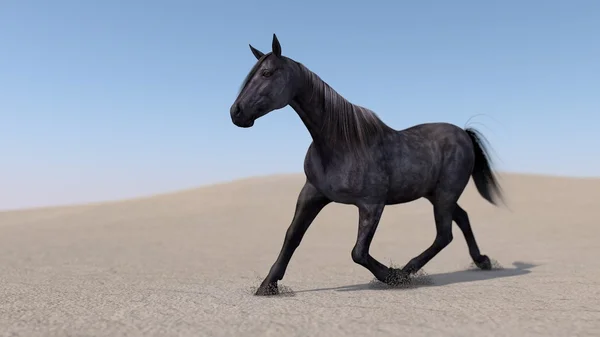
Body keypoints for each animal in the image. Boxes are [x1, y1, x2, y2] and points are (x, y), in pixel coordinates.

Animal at [232, 34, 504, 296]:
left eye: (267, 73)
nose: (236, 113)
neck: (341, 144)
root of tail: (463, 133)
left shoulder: (372, 204)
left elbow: (358, 252)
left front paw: (392, 276)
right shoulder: (312, 193)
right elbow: (292, 236)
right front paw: (267, 286)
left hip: (445, 193)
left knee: (444, 234)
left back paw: (407, 270)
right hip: (434, 195)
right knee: (462, 218)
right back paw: (481, 261)